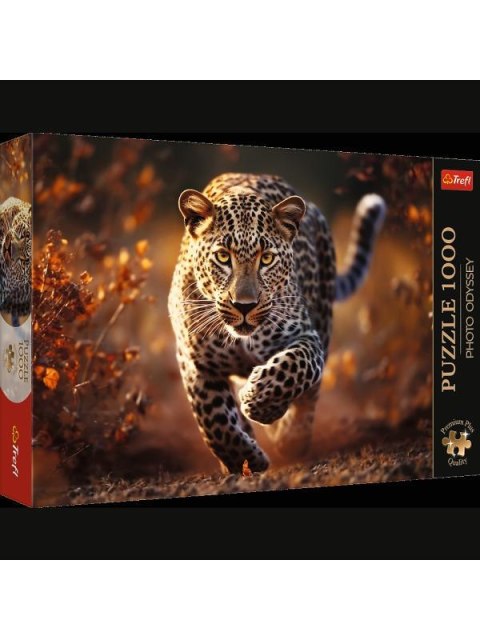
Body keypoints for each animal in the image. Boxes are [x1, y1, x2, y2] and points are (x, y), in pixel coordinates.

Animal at [168, 173, 386, 473]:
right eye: (223, 257)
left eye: (267, 259)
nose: (244, 306)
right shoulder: (194, 361)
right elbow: (214, 420)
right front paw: (244, 460)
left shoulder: (307, 336)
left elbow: (294, 367)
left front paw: (260, 402)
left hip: (324, 318)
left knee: (310, 396)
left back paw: (291, 438)